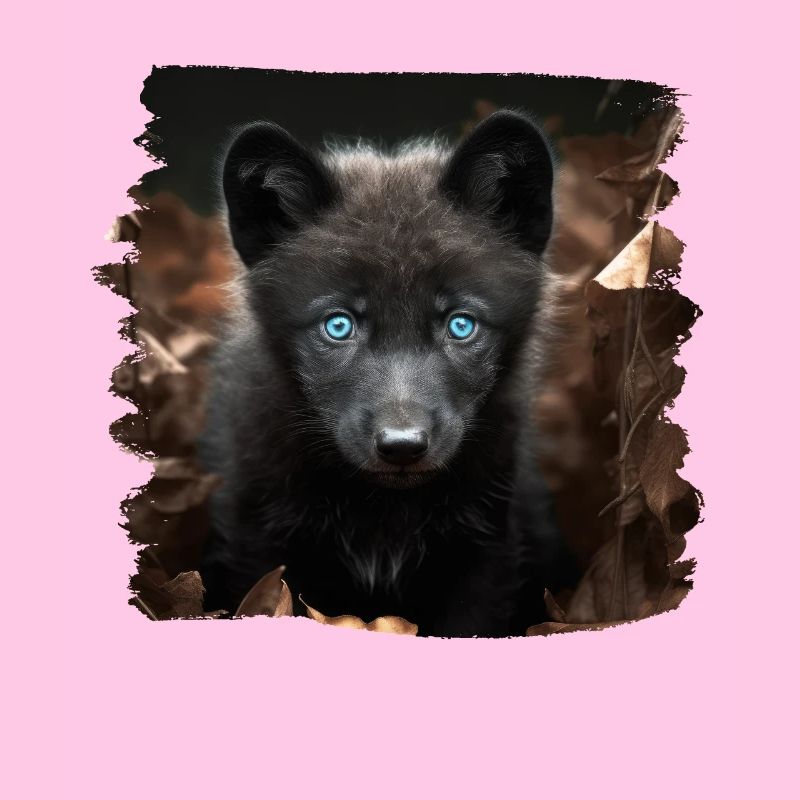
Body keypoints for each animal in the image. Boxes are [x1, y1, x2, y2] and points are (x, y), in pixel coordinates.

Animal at [199, 110, 574, 636]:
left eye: (461, 324)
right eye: (338, 325)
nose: (402, 446)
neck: (383, 516)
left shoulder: (487, 551)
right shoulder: (255, 540)